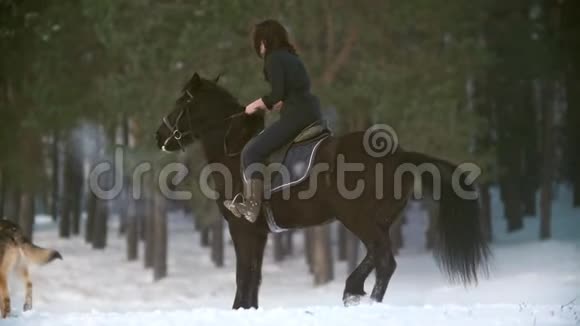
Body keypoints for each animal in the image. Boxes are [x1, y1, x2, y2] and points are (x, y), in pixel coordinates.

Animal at [155, 72, 490, 310]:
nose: (160, 135)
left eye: (181, 103)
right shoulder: (259, 233)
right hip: (378, 220)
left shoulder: (243, 228)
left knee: (384, 261)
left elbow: (243, 276)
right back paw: (353, 290)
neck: (234, 152)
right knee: (377, 255)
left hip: (357, 218)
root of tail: (399, 155)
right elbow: (254, 279)